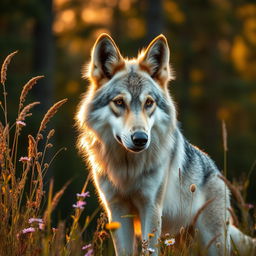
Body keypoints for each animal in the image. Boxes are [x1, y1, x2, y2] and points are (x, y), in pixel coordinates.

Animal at [75, 33, 255, 255]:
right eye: (119, 102)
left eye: (149, 103)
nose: (140, 139)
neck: (128, 168)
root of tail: (216, 171)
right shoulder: (116, 210)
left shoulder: (151, 207)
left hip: (213, 242)